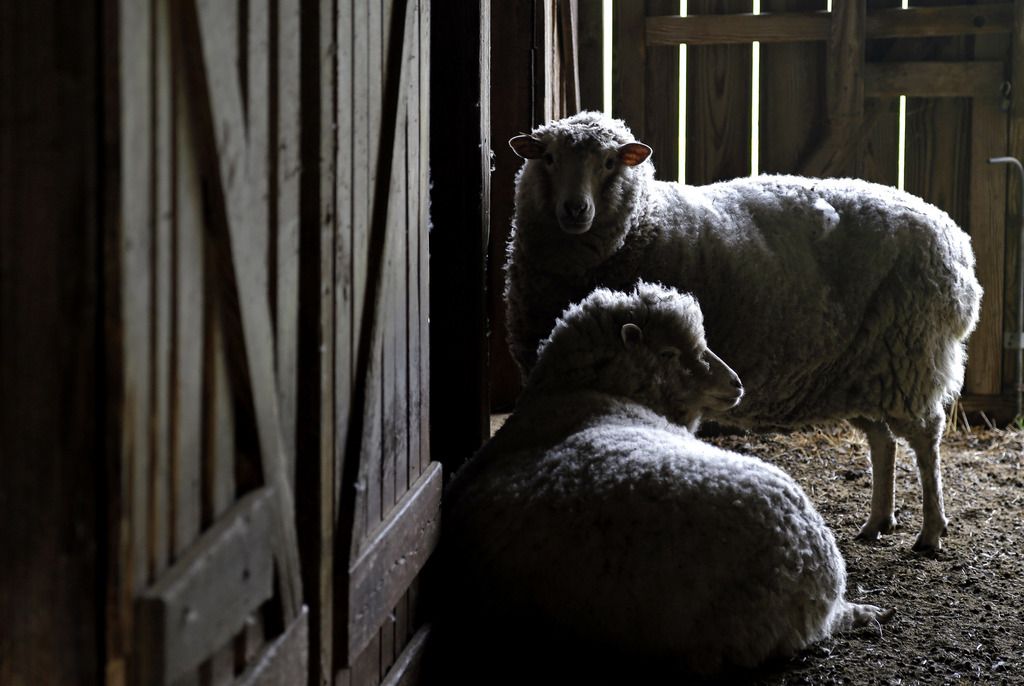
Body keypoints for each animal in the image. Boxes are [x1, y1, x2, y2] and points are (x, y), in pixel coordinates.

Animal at [444, 282, 892, 679]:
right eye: (670, 352)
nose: (737, 384)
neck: (577, 393)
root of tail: (790, 555)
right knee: (828, 620)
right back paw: (864, 613)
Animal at [503, 111, 983, 552]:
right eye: (548, 158)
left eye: (609, 162)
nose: (575, 209)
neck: (644, 220)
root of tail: (958, 246)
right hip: (865, 368)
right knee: (882, 440)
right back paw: (878, 521)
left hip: (910, 354)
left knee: (925, 439)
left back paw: (930, 531)